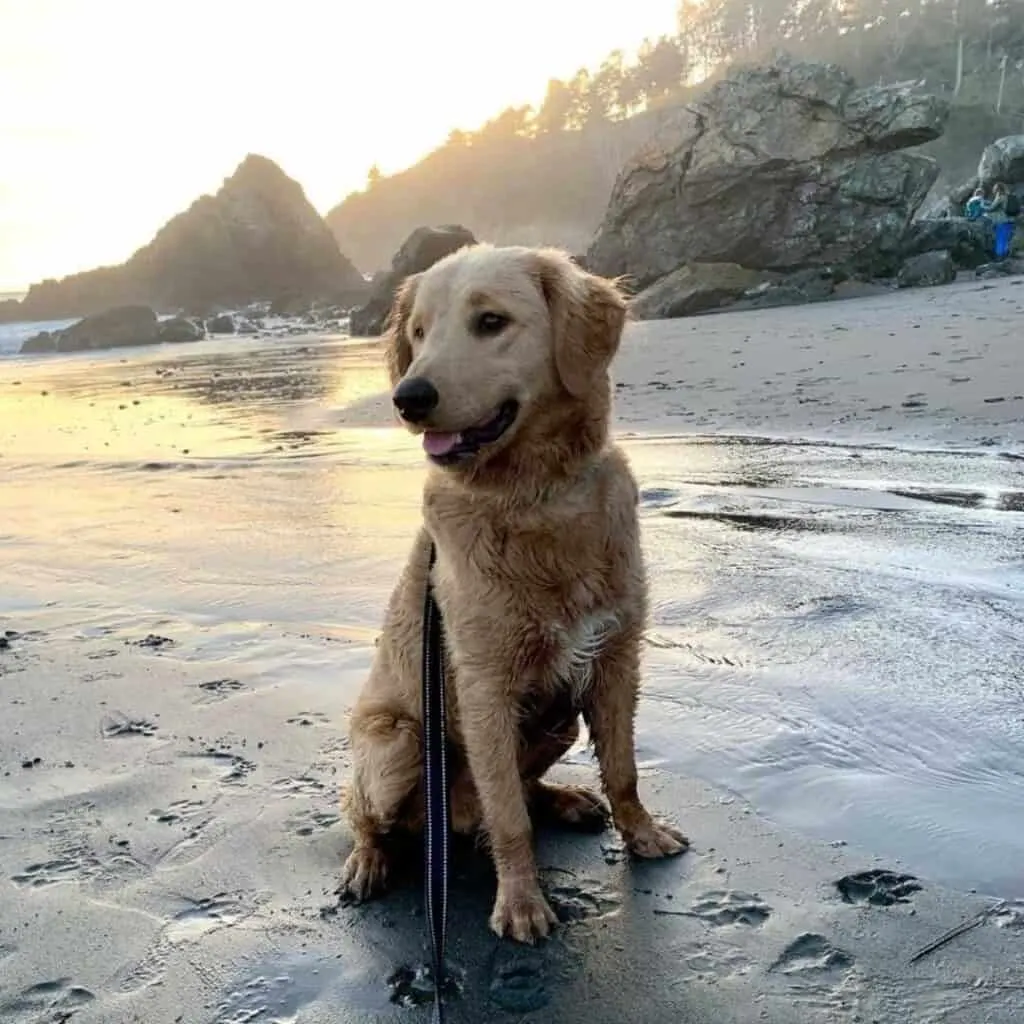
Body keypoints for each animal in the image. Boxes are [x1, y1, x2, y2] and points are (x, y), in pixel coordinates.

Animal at [342, 241, 688, 942]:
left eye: (491, 322)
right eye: (419, 333)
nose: (407, 397)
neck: (536, 499)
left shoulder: (616, 659)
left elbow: (624, 769)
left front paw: (641, 834)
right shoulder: (484, 689)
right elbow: (507, 818)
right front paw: (522, 903)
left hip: (559, 717)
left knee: (519, 791)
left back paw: (566, 800)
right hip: (396, 744)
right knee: (367, 815)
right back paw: (368, 861)